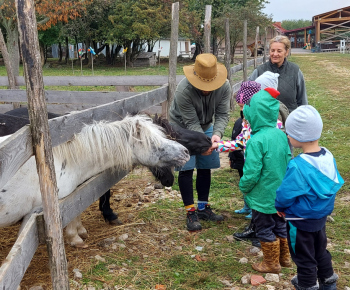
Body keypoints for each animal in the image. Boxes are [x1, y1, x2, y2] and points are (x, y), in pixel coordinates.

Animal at [0, 114, 189, 246]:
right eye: (153, 142)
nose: (186, 152)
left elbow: (76, 211)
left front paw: (80, 232)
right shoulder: (35, 215)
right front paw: (75, 239)